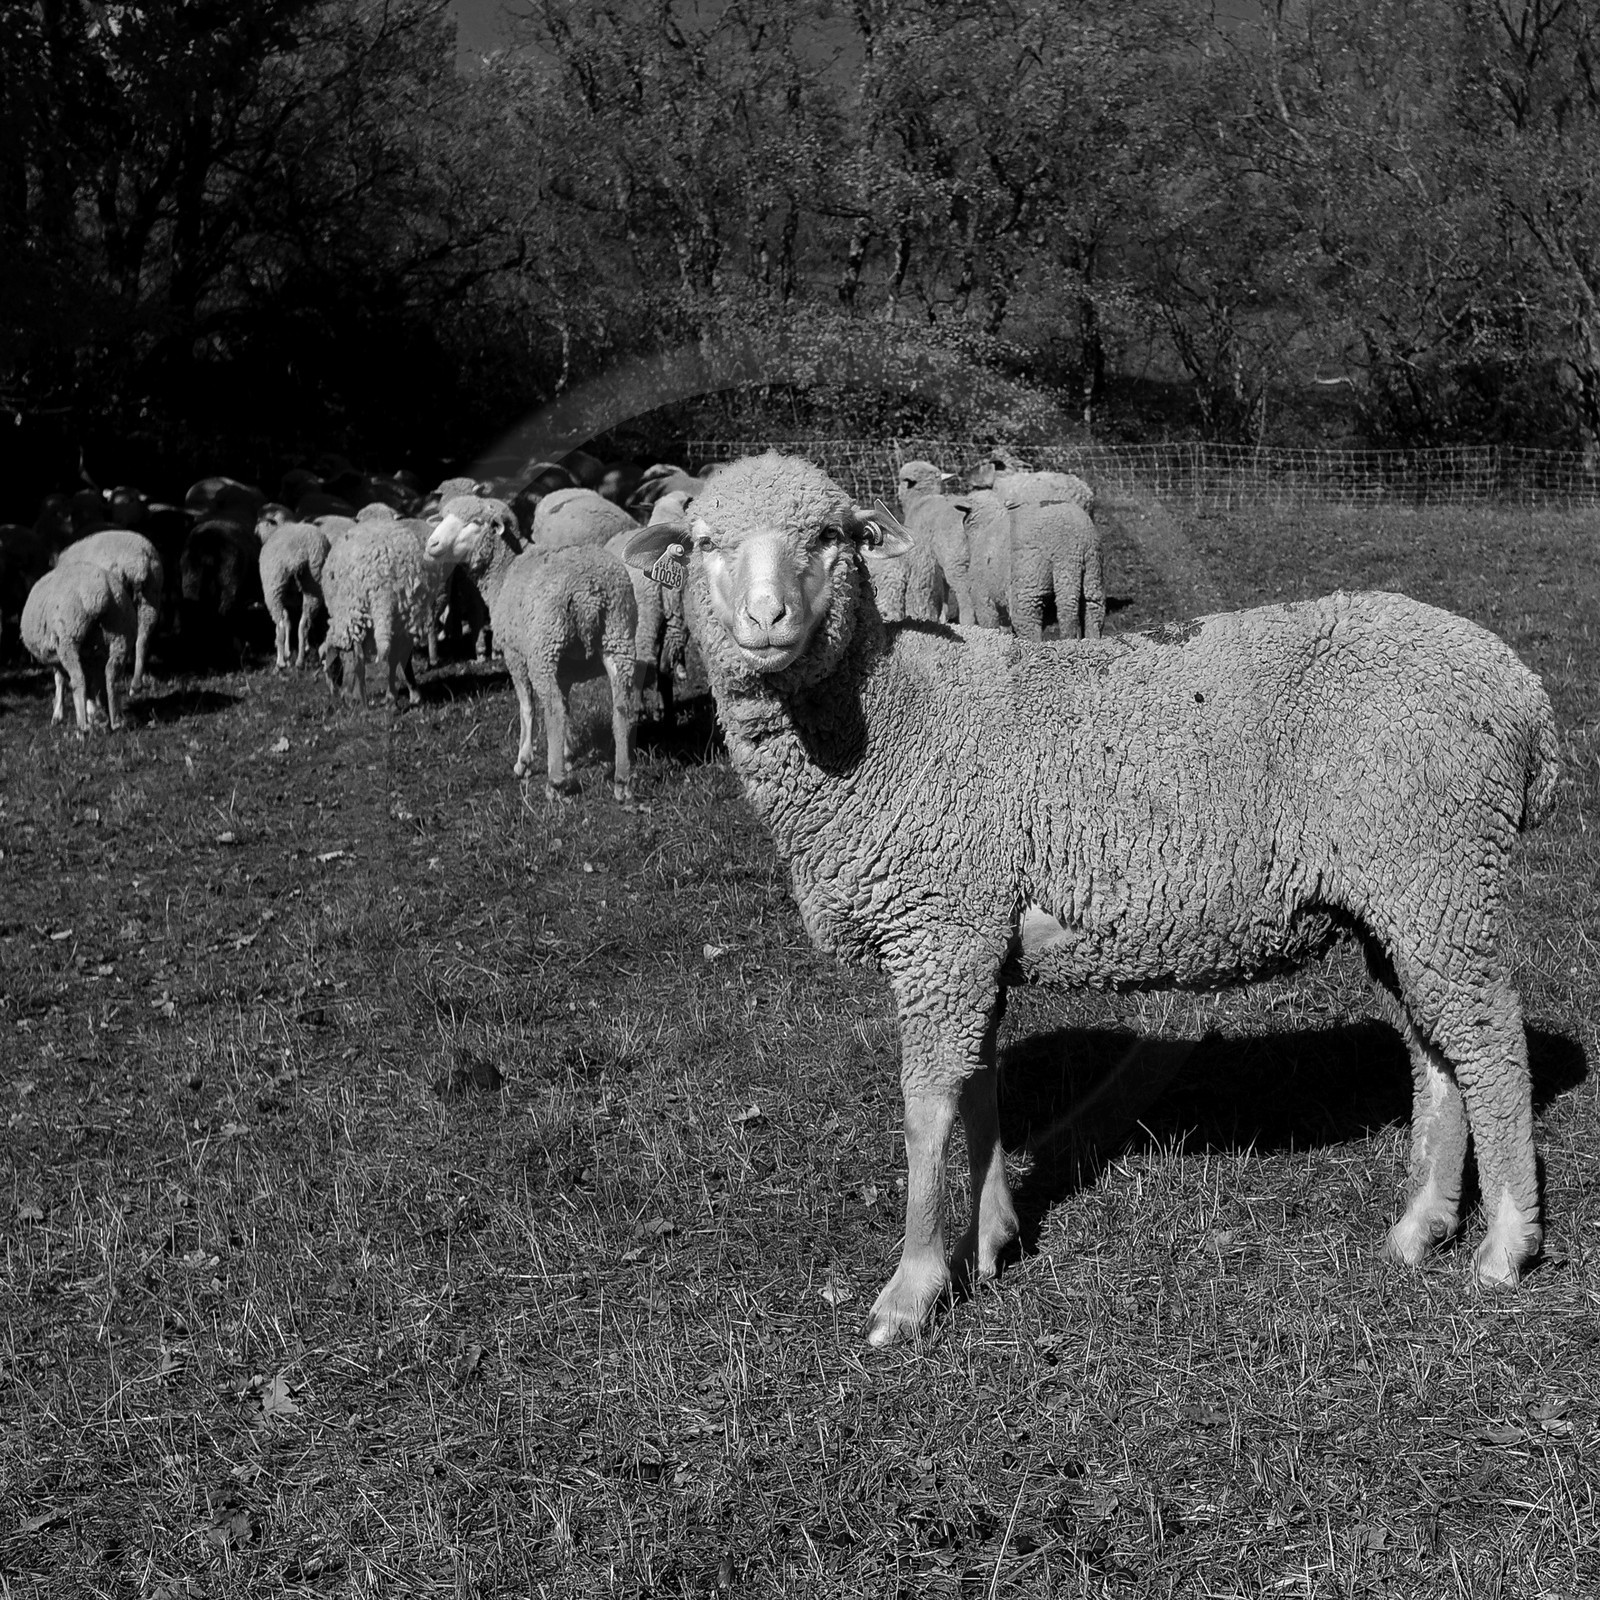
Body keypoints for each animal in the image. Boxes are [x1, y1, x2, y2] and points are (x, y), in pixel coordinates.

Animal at [20, 562, 137, 731]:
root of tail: (99, 593)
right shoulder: (92, 657)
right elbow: (93, 684)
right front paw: (97, 713)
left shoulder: (60, 650)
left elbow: (61, 680)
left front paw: (58, 716)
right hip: (121, 635)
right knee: (112, 675)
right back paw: (116, 722)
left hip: (70, 638)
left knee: (78, 679)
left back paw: (83, 726)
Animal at [258, 521, 332, 669]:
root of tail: (298, 556)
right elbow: (290, 621)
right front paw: (302, 648)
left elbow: (286, 621)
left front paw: (286, 653)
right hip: (313, 583)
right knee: (304, 623)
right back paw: (300, 660)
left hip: (274, 586)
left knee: (280, 625)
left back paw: (281, 663)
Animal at [319, 518, 439, 706]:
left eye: (332, 668)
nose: (335, 694)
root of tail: (384, 584)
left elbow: (353, 658)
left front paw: (352, 696)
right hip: (405, 615)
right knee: (396, 655)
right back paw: (397, 697)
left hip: (357, 610)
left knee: (362, 657)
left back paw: (364, 701)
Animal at [425, 495, 637, 798]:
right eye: (442, 518)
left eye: (475, 522)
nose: (432, 544)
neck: (505, 572)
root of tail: (589, 592)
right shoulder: (565, 666)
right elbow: (567, 703)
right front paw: (568, 754)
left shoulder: (515, 655)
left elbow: (528, 706)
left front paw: (525, 761)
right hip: (618, 637)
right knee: (621, 707)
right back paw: (622, 780)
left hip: (544, 649)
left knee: (552, 709)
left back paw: (555, 782)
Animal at [956, 487, 1106, 641]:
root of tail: (1069, 541)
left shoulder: (983, 597)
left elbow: (989, 625)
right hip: (1092, 570)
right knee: (1093, 609)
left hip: (1029, 579)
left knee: (1027, 618)